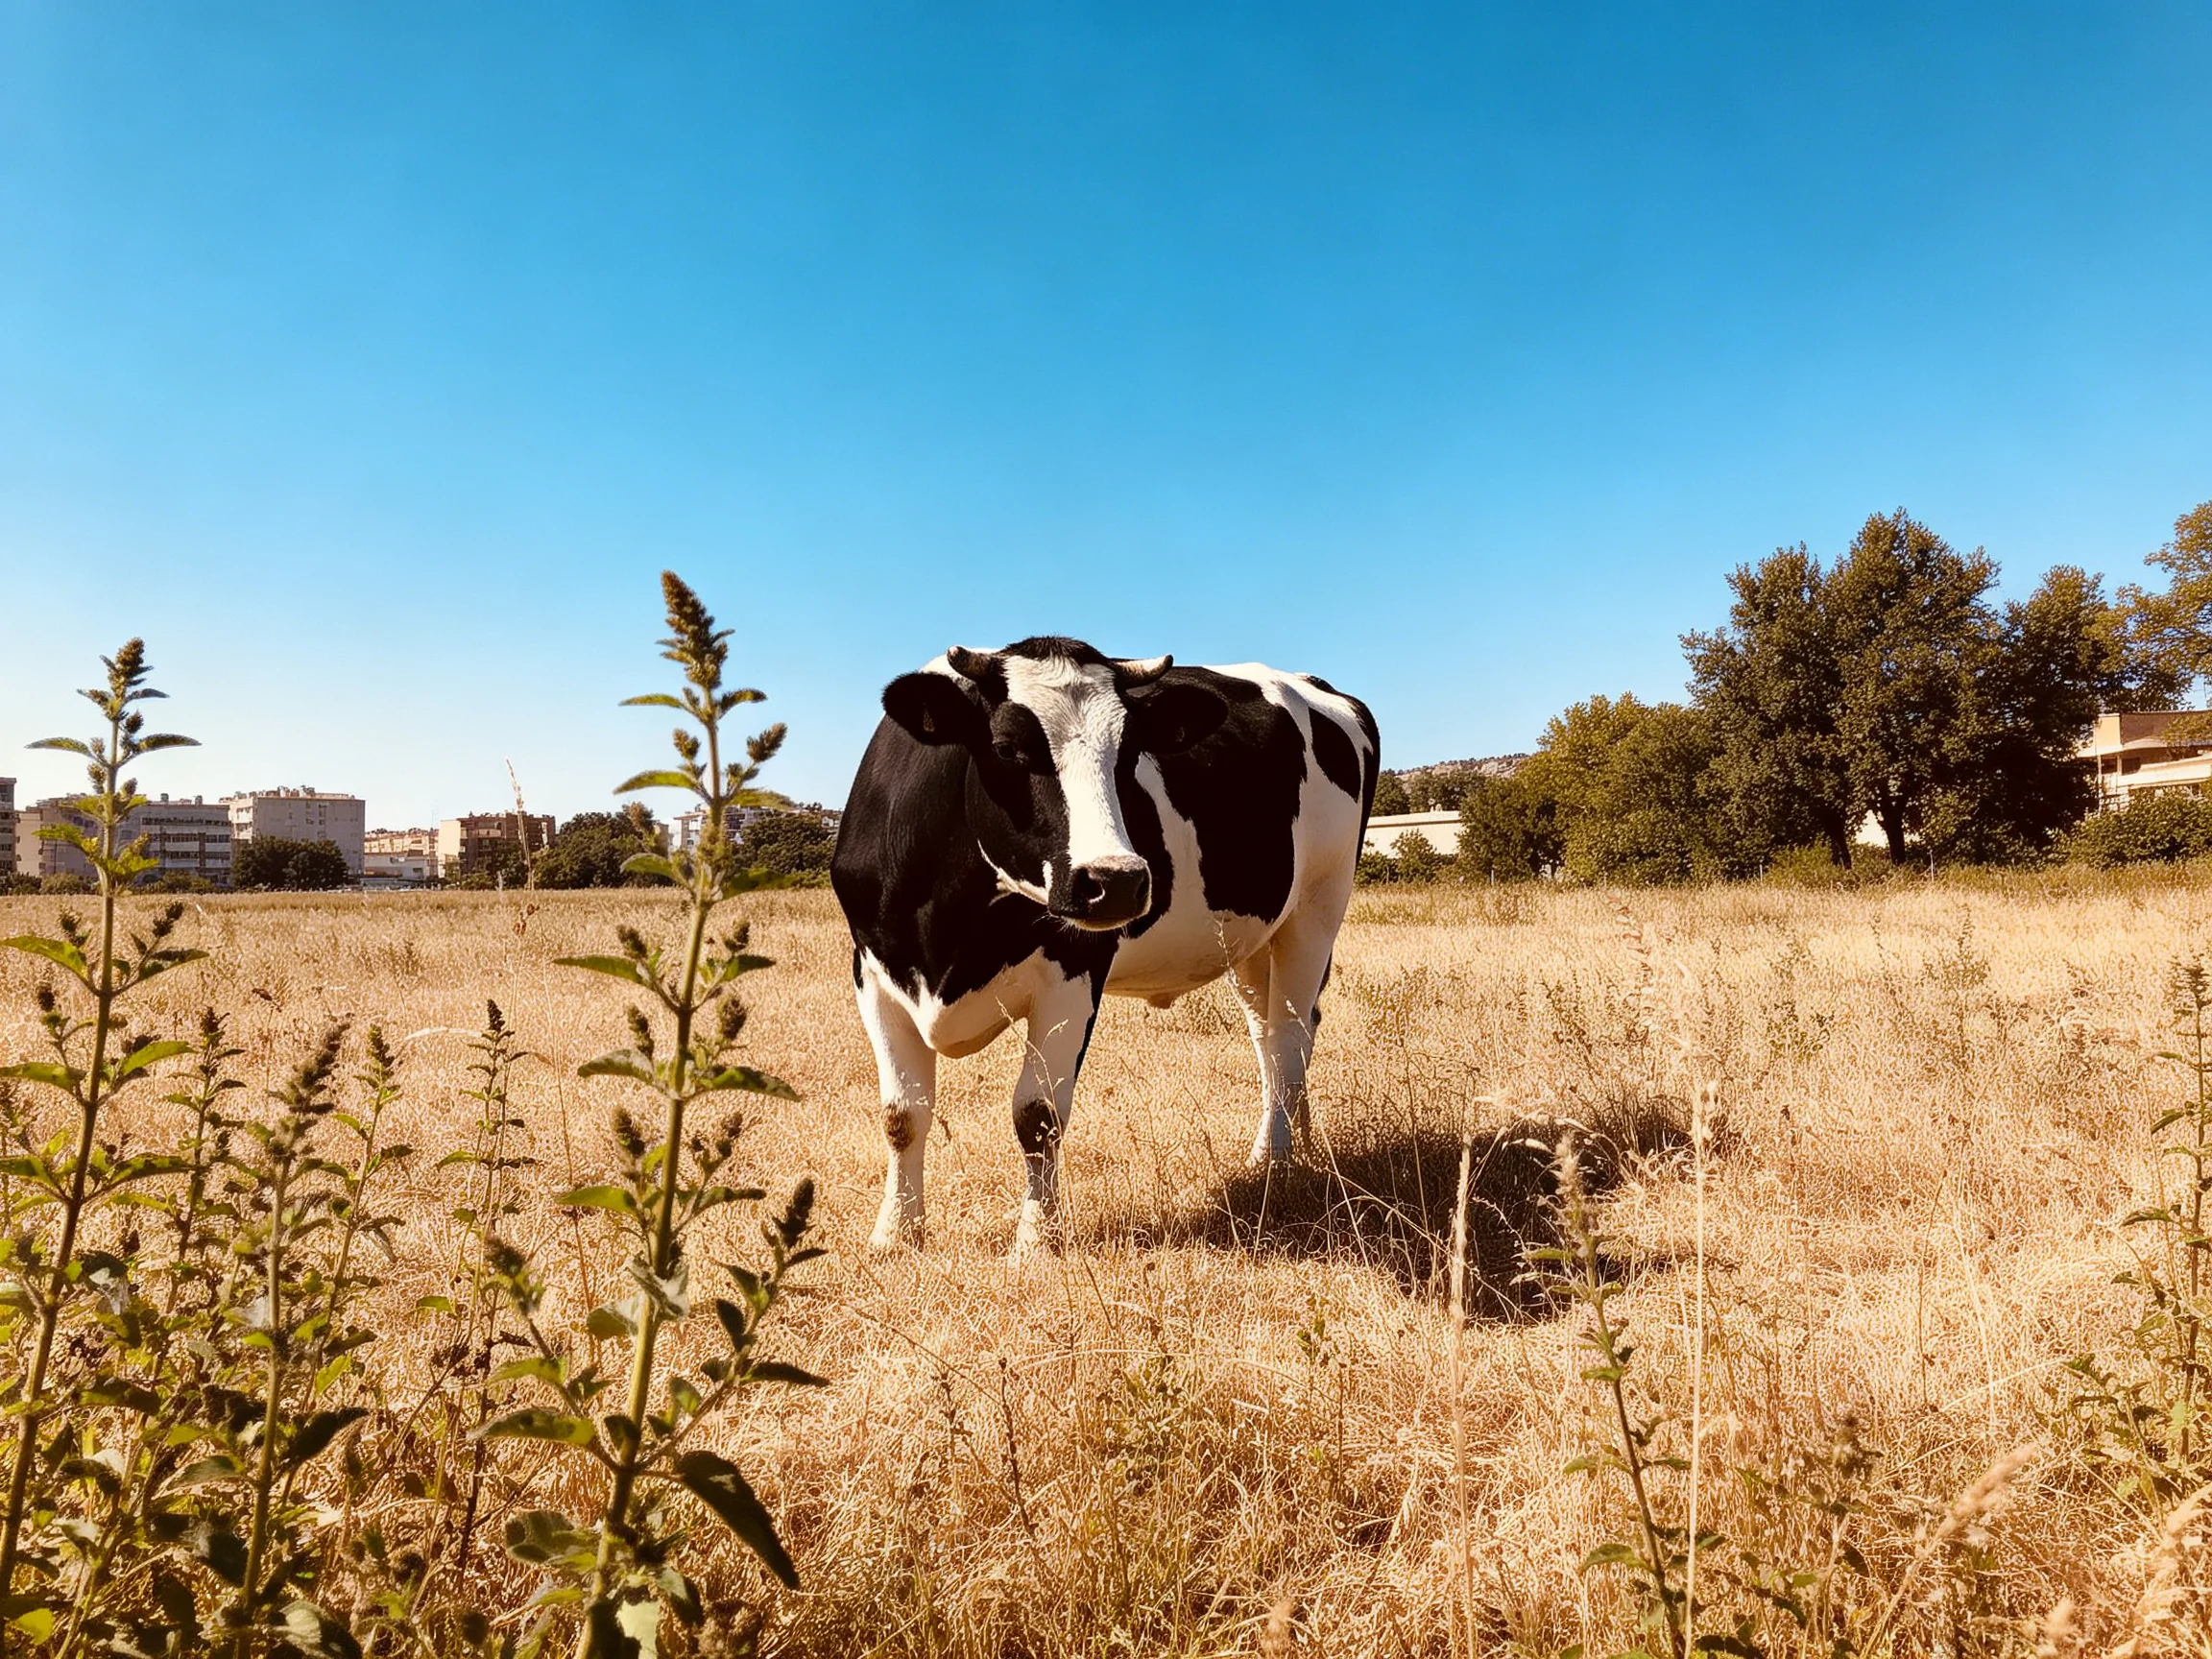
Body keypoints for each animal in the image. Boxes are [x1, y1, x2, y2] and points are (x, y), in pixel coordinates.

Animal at [830, 636, 1380, 1255]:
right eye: (1008, 749)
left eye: (1129, 755)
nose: (1116, 880)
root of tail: (1318, 687)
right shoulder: (873, 972)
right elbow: (902, 1115)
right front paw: (895, 1235)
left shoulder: (1074, 970)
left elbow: (1038, 1115)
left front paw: (1035, 1243)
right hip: (1252, 938)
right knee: (1272, 1035)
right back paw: (1279, 1151)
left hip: (1316, 909)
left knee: (1288, 1036)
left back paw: (1279, 1161)